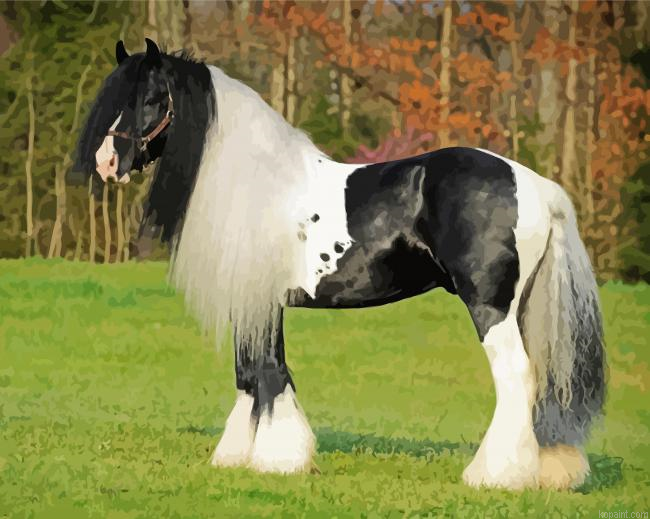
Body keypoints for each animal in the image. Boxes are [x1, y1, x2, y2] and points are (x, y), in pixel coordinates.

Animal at [74, 39, 605, 491]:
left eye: (151, 98)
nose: (106, 162)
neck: (258, 184)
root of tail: (536, 185)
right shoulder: (255, 303)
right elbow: (249, 375)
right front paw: (237, 456)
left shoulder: (259, 302)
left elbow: (268, 371)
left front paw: (279, 459)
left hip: (490, 307)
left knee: (516, 376)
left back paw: (494, 475)